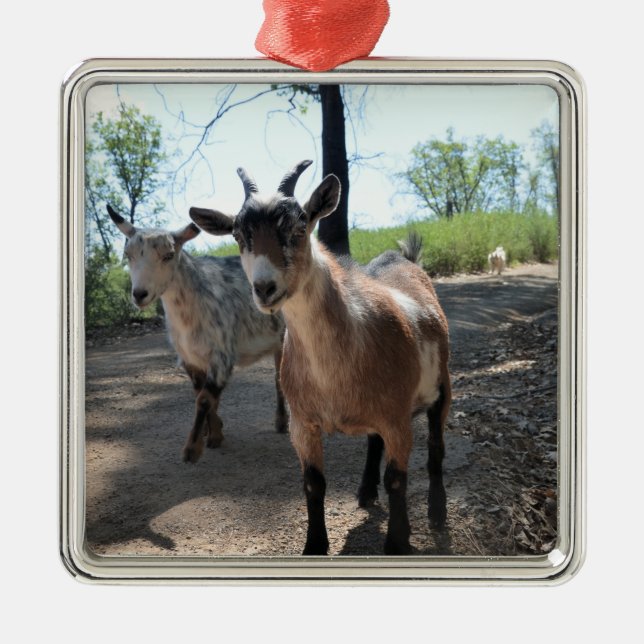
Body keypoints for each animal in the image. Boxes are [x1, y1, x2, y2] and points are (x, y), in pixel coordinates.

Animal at [107, 205, 287, 464]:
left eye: (168, 255)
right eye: (128, 255)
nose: (139, 294)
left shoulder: (222, 354)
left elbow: (204, 398)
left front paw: (192, 449)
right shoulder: (189, 358)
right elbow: (201, 394)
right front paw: (213, 433)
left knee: (280, 378)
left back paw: (282, 422)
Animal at [189, 161, 451, 555]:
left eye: (300, 227)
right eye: (237, 235)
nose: (264, 288)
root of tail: (405, 260)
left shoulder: (397, 418)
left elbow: (397, 480)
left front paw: (398, 542)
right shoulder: (303, 422)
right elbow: (314, 483)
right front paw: (314, 544)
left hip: (442, 384)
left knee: (436, 447)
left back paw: (436, 513)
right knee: (374, 442)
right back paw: (365, 492)